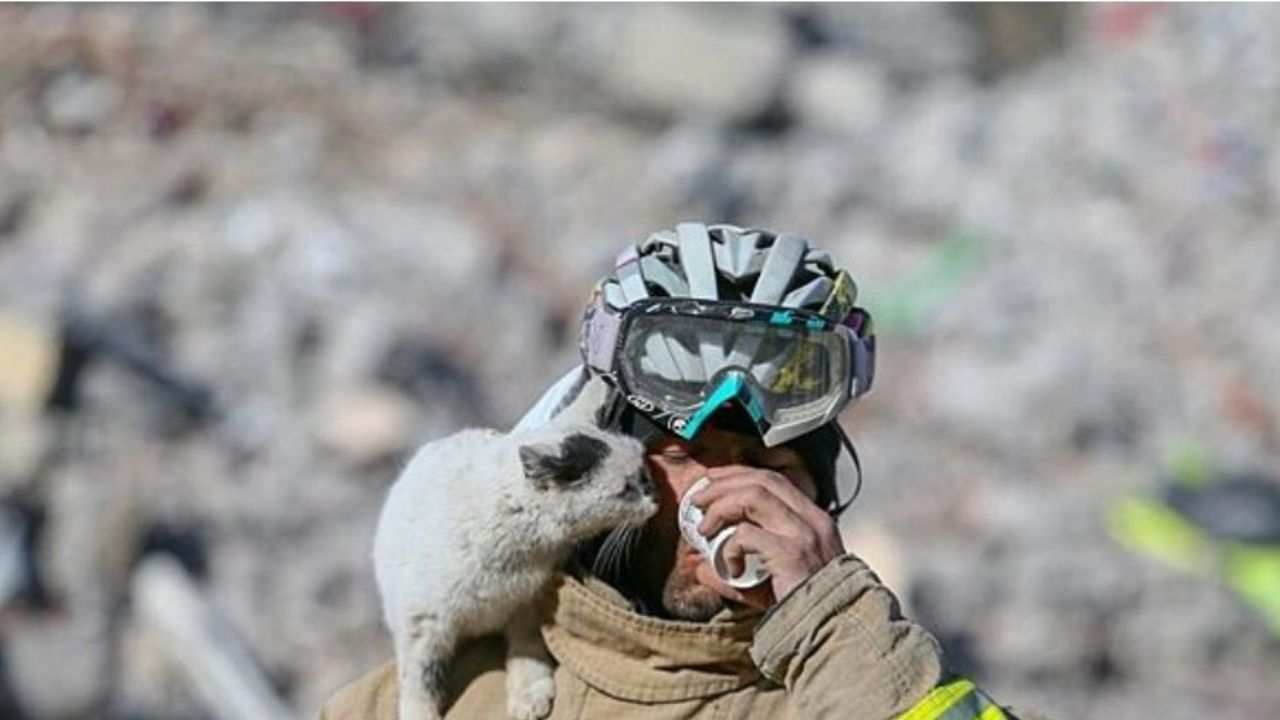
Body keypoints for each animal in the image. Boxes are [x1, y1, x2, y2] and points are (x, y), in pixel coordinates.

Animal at [368, 392, 650, 717]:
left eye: (644, 473)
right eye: (626, 489)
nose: (654, 499)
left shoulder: (524, 601)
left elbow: (525, 647)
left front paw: (529, 695)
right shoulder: (421, 620)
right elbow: (418, 678)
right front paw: (420, 713)